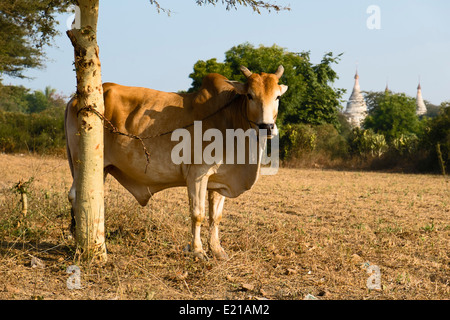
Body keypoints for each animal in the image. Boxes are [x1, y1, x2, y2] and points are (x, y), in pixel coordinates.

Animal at [65, 65, 286, 260]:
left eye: (277, 97)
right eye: (250, 95)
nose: (267, 127)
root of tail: (76, 98)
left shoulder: (219, 180)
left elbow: (216, 217)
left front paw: (217, 250)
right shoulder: (197, 175)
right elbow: (198, 214)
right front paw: (198, 251)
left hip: (100, 167)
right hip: (83, 162)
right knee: (77, 196)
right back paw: (83, 243)